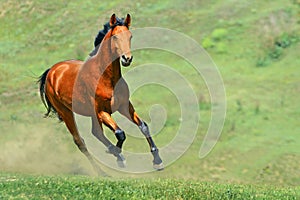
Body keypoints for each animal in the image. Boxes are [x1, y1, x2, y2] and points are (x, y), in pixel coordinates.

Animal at [38, 14, 164, 173]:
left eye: (130, 36)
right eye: (115, 37)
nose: (127, 59)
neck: (106, 78)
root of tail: (52, 71)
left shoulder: (124, 106)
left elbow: (143, 126)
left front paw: (157, 161)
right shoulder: (101, 111)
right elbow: (120, 133)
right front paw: (118, 154)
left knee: (96, 133)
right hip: (66, 112)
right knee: (81, 141)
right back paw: (103, 171)